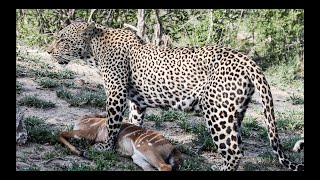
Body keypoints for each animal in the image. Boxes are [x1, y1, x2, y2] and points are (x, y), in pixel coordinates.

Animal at [46, 19, 304, 171]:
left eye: (62, 39)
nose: (48, 51)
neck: (94, 49)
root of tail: (249, 60)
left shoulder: (116, 92)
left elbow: (112, 123)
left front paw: (105, 148)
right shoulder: (136, 102)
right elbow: (133, 122)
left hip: (217, 113)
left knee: (234, 149)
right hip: (234, 112)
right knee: (238, 144)